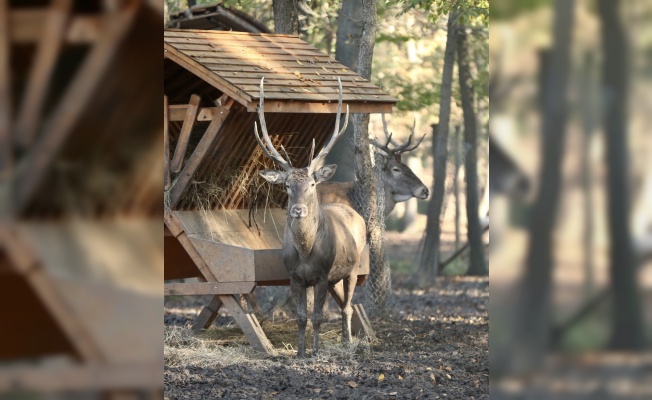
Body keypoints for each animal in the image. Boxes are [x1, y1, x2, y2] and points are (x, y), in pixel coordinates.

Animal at [255, 76, 366, 358]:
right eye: (286, 185)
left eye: (312, 184)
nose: (298, 210)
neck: (306, 253)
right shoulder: (295, 277)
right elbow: (302, 317)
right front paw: (300, 352)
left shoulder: (322, 275)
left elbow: (317, 317)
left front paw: (315, 351)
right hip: (335, 277)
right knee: (343, 305)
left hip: (352, 268)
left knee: (347, 306)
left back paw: (347, 342)